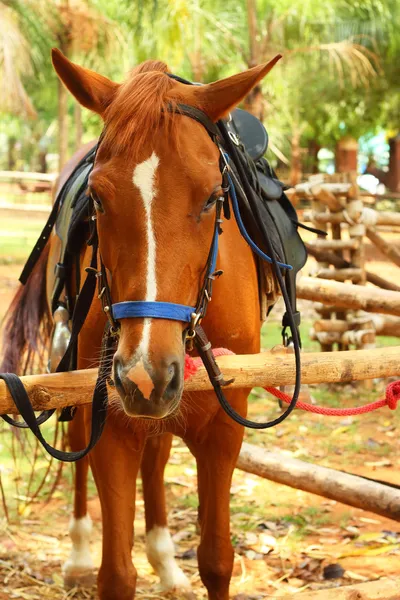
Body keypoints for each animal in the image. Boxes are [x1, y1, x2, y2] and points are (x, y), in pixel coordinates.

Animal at [0, 50, 282, 600]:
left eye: (213, 197)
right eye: (97, 199)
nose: (144, 375)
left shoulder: (223, 428)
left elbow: (217, 560)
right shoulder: (109, 422)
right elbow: (116, 574)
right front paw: (99, 560)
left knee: (157, 453)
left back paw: (165, 561)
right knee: (78, 446)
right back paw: (79, 553)